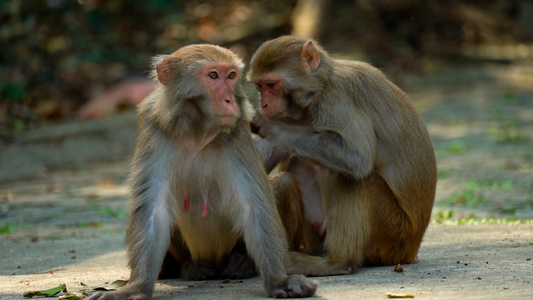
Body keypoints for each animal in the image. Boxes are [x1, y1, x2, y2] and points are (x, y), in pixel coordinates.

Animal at [88, 44, 318, 300]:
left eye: (231, 76)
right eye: (213, 76)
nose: (230, 100)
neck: (198, 130)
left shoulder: (238, 130)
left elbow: (253, 206)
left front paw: (280, 281)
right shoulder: (153, 126)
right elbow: (155, 208)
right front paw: (134, 288)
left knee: (283, 181)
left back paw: (242, 263)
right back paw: (194, 267)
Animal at [247, 34, 434, 276]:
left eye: (271, 84)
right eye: (259, 86)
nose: (264, 104)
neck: (319, 89)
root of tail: (412, 251)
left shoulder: (337, 99)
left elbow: (357, 158)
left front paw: (269, 126)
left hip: (394, 236)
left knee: (356, 179)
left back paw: (337, 262)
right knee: (300, 162)